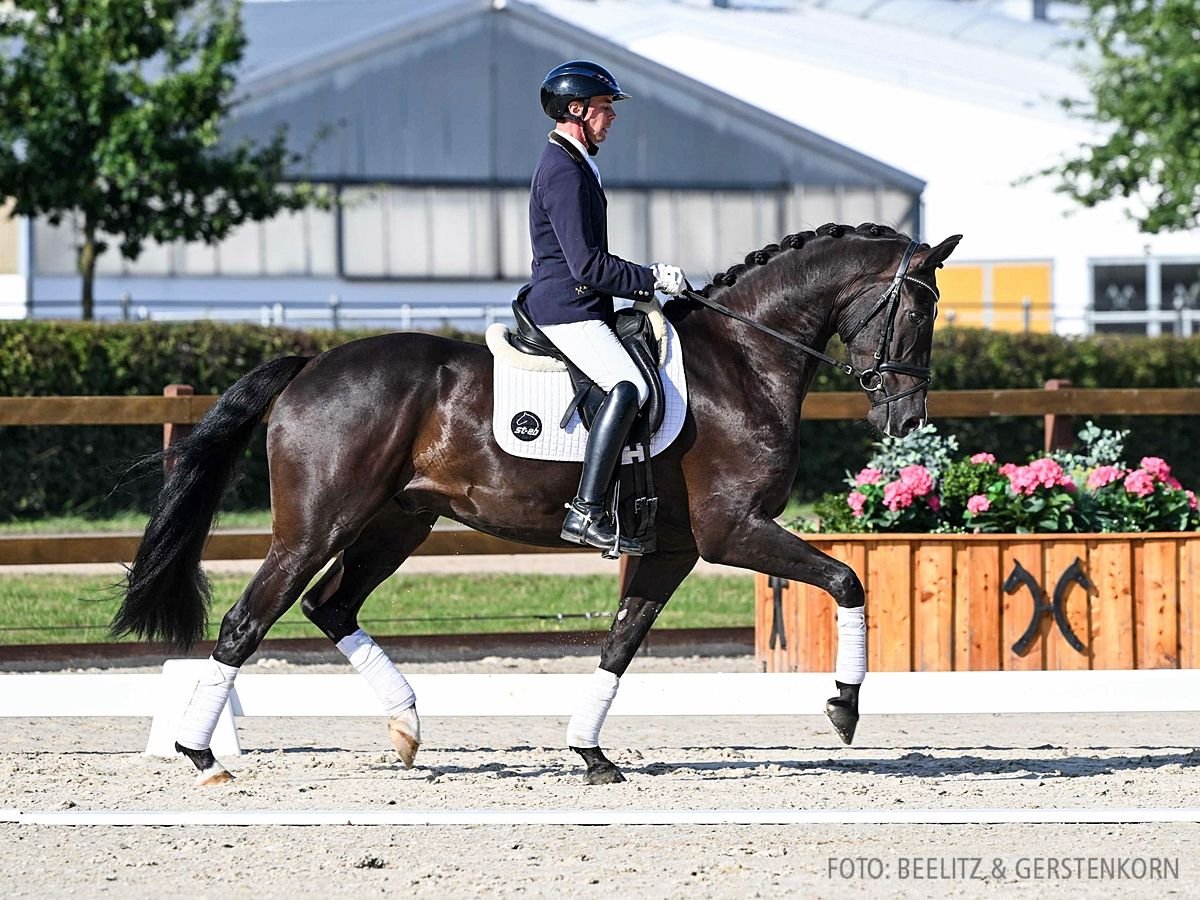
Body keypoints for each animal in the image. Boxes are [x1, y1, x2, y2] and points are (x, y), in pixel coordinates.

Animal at [110, 222, 955, 787]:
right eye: (919, 312)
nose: (906, 419)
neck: (743, 362)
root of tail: (311, 366)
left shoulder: (673, 549)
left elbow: (620, 645)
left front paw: (590, 753)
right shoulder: (733, 532)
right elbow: (848, 580)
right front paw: (844, 708)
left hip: (398, 522)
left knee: (330, 606)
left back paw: (407, 727)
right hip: (318, 524)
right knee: (248, 620)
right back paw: (202, 755)